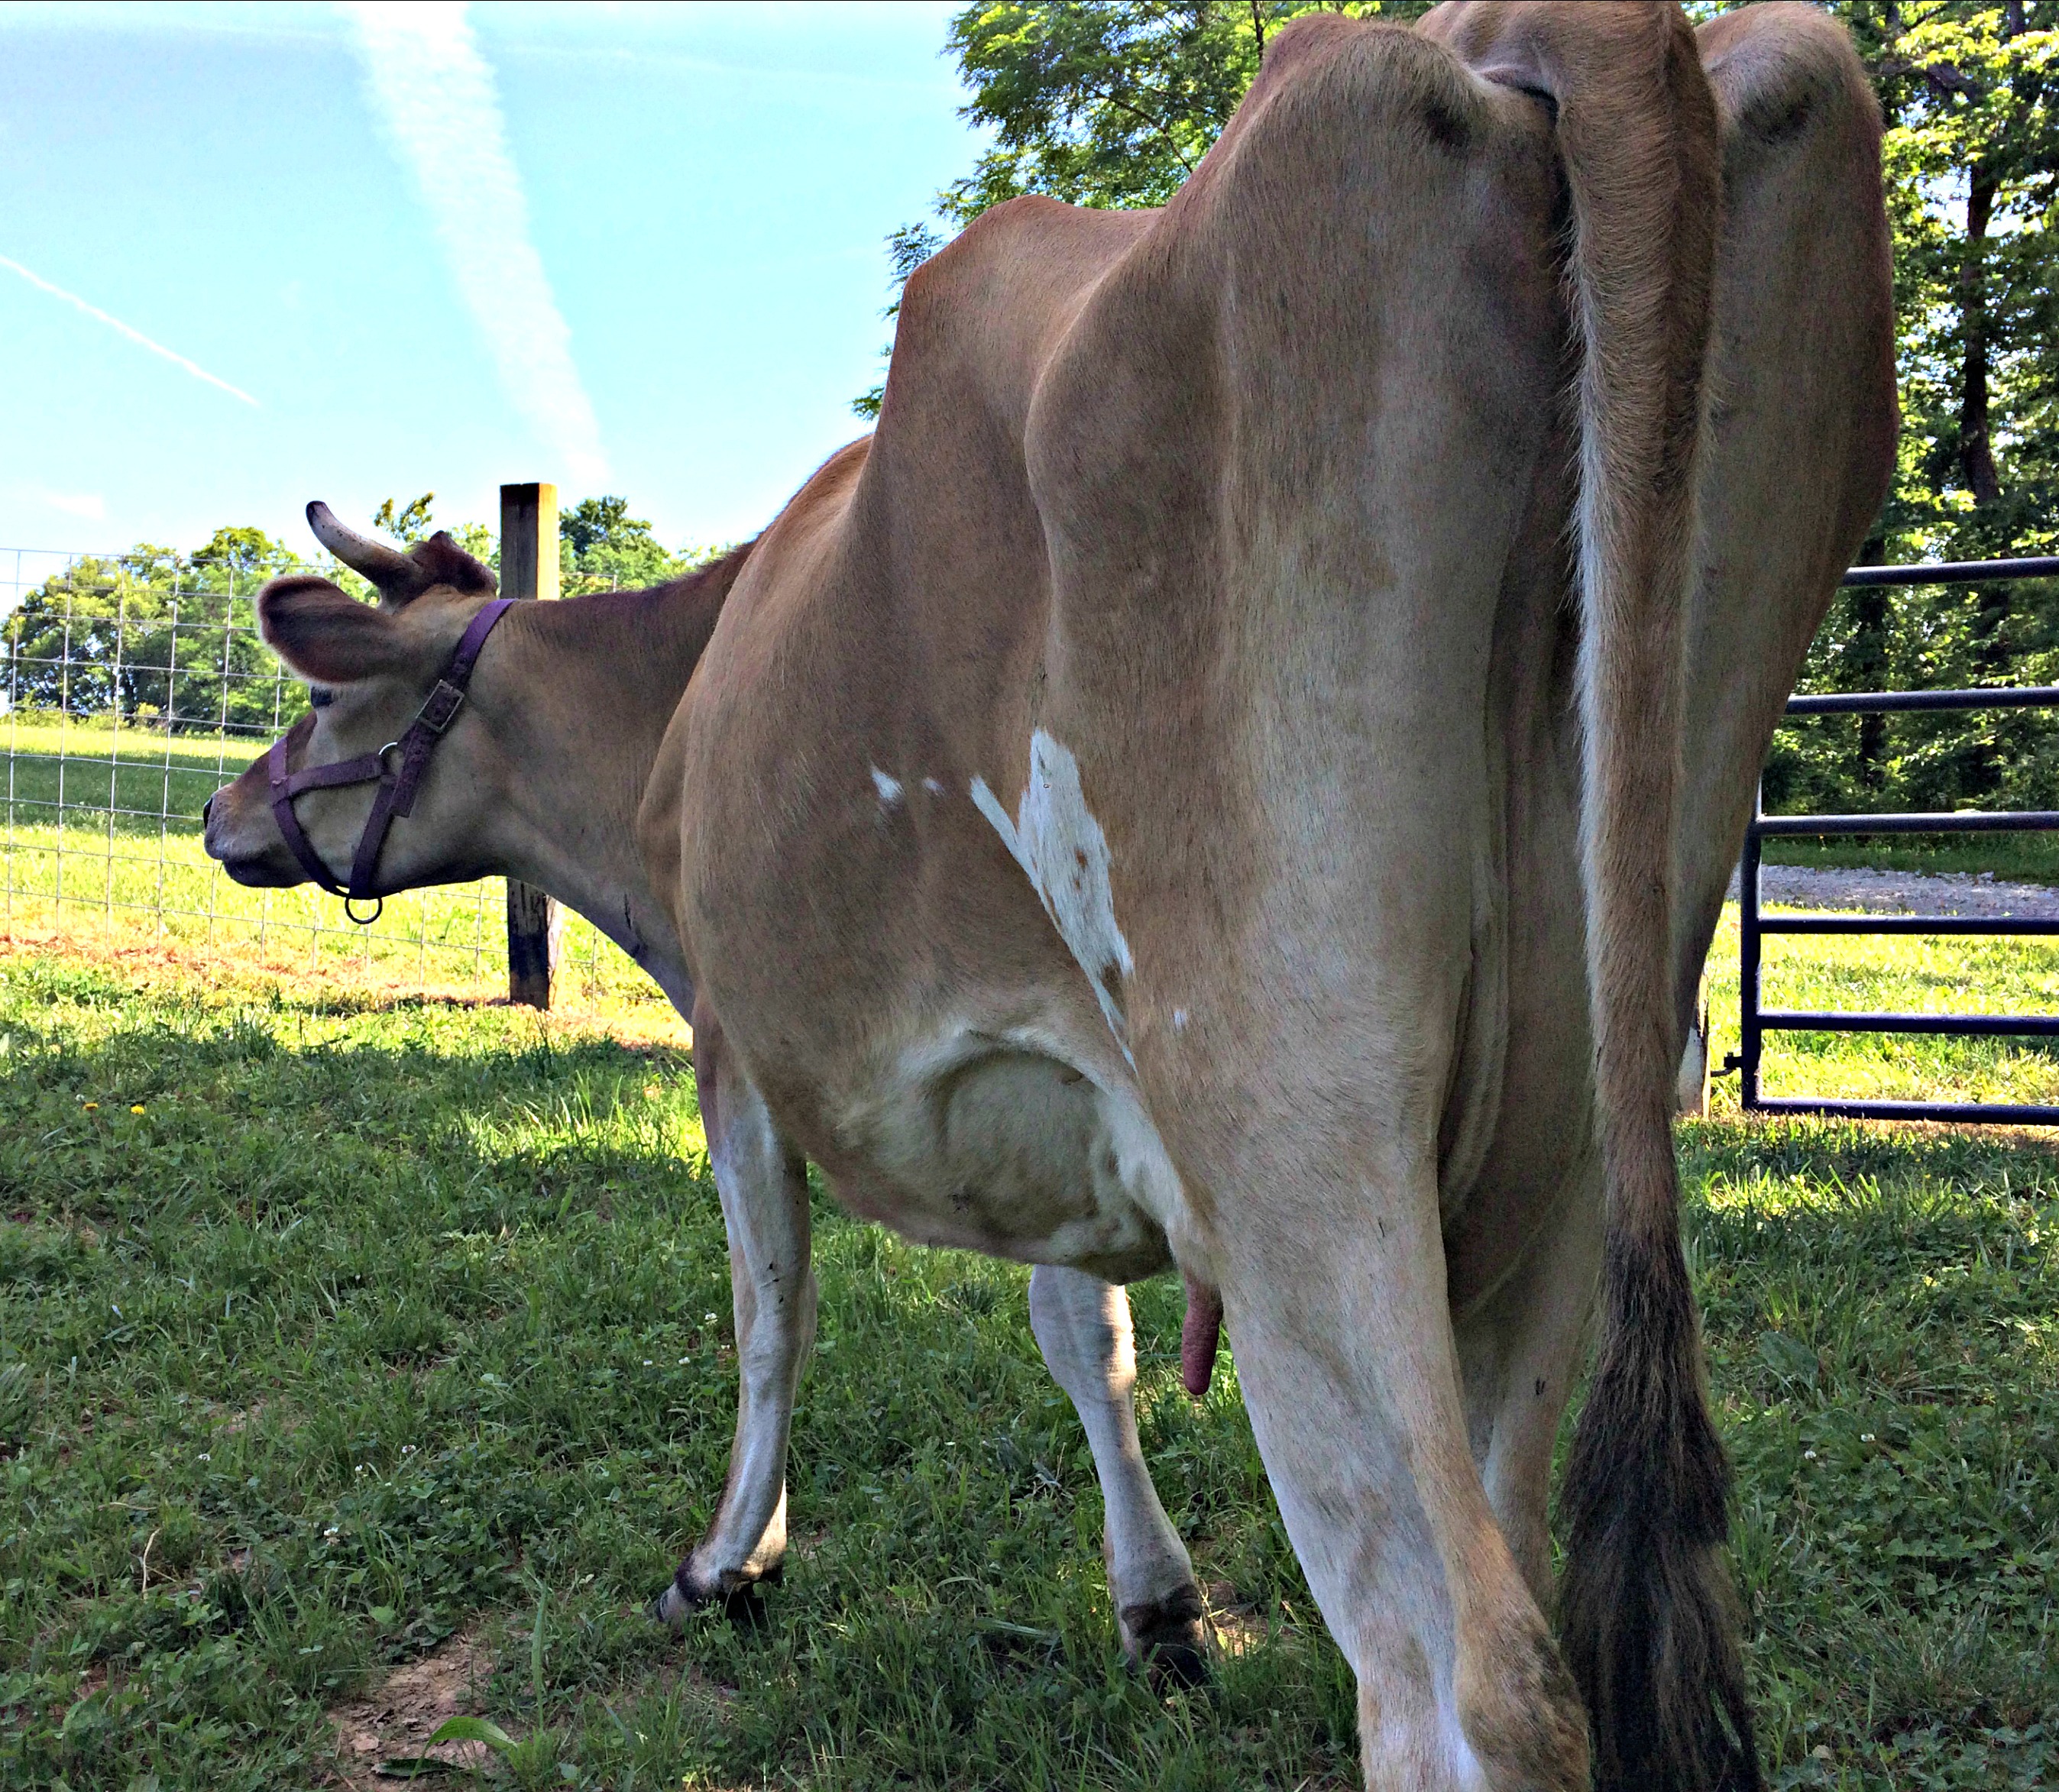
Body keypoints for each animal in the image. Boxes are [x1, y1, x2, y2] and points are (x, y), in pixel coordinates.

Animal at [206, 5, 1895, 1786]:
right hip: (1573, 1122)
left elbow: (769, 1307)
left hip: (1300, 1125)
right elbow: (1084, 1334)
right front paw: (1157, 1608)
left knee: (1467, 1672)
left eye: (323, 703)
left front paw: (732, 1559)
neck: (679, 693)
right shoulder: (1061, 1071)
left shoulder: (740, 1038)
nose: (225, 813)